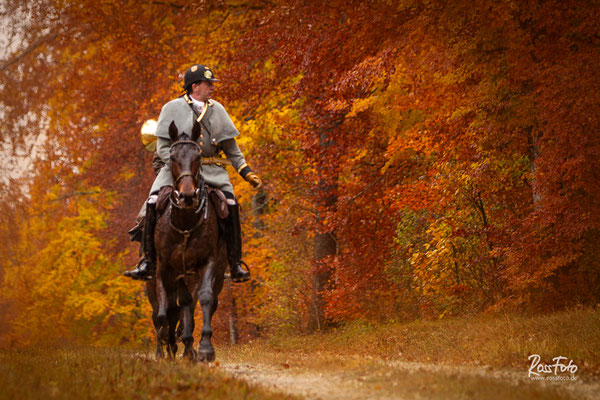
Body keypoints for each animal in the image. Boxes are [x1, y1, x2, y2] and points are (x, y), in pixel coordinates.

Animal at [152, 120, 230, 360]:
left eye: (198, 157)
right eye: (172, 157)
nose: (187, 196)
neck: (185, 221)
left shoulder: (208, 262)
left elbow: (204, 298)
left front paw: (205, 347)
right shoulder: (165, 268)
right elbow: (164, 309)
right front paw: (166, 342)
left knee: (204, 301)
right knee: (177, 306)